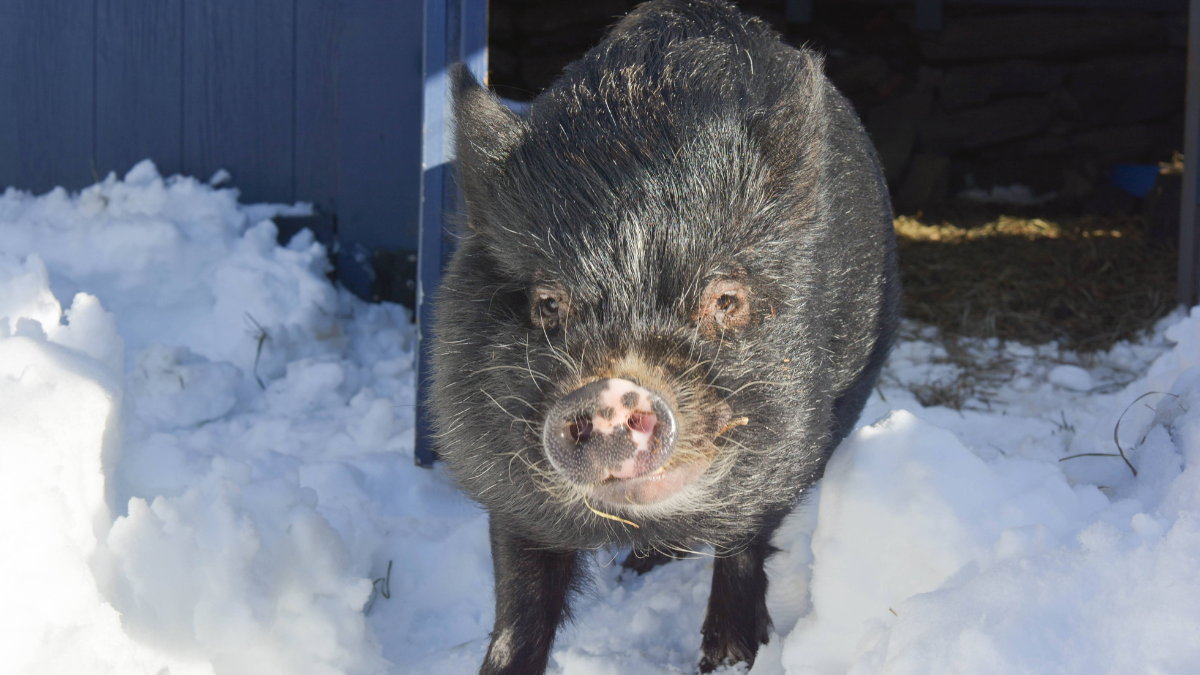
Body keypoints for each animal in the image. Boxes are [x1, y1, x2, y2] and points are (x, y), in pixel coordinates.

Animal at [429, 0, 899, 672]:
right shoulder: (501, 483)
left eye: (725, 300)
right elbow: (519, 605)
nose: (607, 390)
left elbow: (743, 541)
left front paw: (731, 657)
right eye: (548, 303)